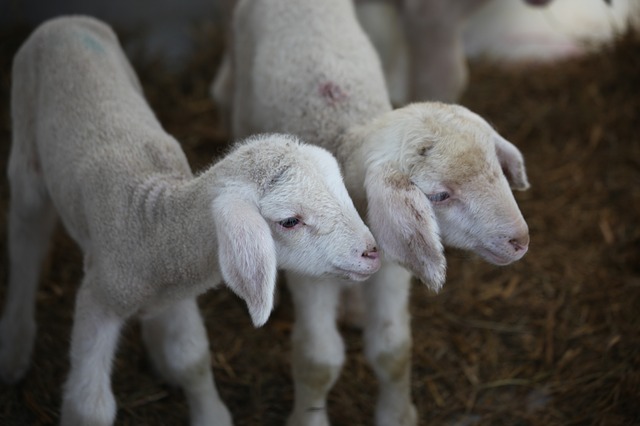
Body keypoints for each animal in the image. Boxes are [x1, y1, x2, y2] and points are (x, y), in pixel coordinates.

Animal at [0, 15, 380, 426]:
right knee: (25, 242)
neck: (152, 224)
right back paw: (14, 348)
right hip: (25, 152)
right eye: (290, 221)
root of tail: (65, 20)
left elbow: (192, 358)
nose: (372, 252)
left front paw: (207, 410)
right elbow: (90, 406)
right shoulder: (98, 298)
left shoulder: (179, 294)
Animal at [220, 0, 528, 426]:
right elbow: (318, 361)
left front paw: (397, 415)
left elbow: (393, 349)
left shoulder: (395, 266)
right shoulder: (311, 274)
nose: (520, 240)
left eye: (497, 169)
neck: (343, 134)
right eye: (440, 195)